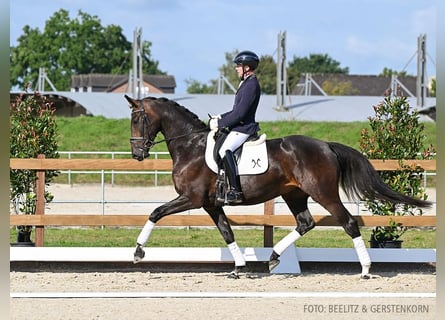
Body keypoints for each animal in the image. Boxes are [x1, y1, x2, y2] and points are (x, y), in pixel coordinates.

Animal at [125, 94, 430, 278]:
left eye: (137, 118)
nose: (137, 154)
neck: (191, 146)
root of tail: (325, 145)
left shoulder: (192, 198)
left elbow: (155, 212)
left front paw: (138, 253)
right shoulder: (211, 204)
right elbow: (227, 232)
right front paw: (238, 267)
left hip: (324, 193)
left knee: (349, 223)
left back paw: (366, 269)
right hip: (295, 194)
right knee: (306, 223)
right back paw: (272, 257)